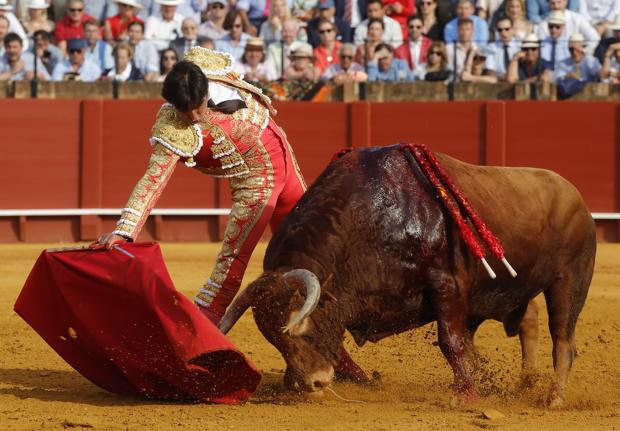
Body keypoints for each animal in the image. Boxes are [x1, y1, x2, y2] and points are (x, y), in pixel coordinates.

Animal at [218, 145, 596, 408]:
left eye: (302, 329)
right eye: (273, 339)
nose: (309, 385)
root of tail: (574, 195)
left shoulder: (446, 284)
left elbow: (450, 341)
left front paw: (465, 395)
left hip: (568, 281)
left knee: (563, 339)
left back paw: (553, 397)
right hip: (515, 286)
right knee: (528, 319)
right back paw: (524, 383)